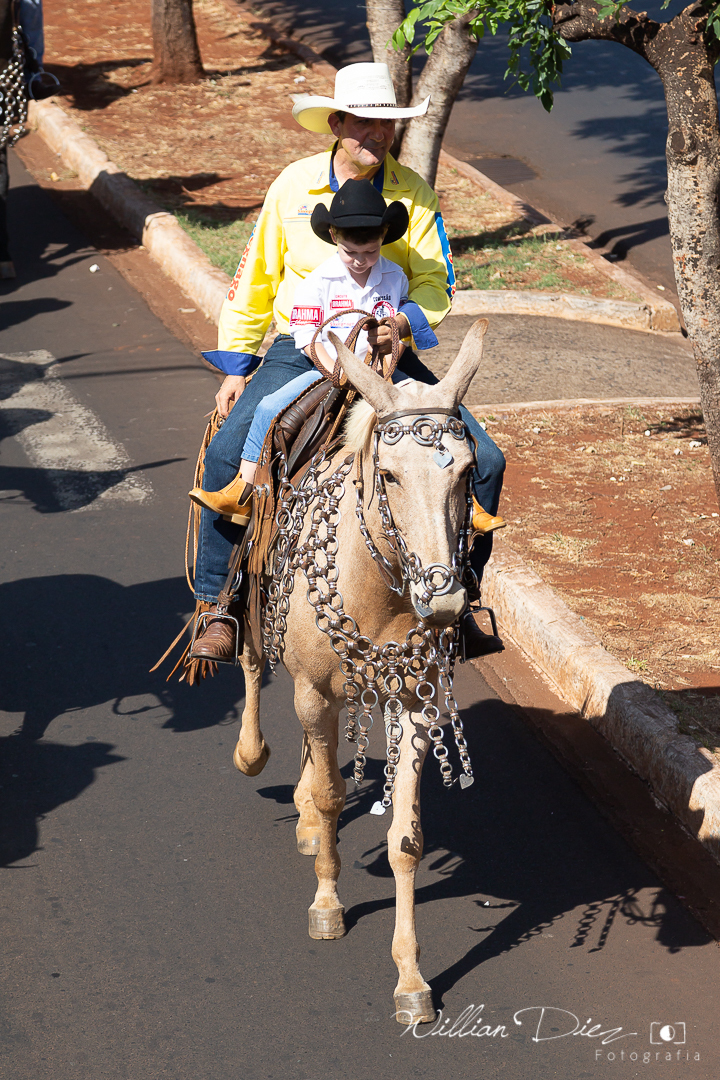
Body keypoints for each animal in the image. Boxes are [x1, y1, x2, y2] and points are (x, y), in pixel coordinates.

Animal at [231, 318, 489, 1025]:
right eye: (391, 475)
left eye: (467, 472)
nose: (444, 597)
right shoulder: (314, 692)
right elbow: (330, 794)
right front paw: (327, 906)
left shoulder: (417, 704)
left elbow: (405, 839)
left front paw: (412, 981)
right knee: (250, 666)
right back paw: (255, 754)